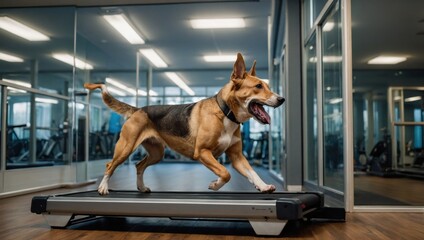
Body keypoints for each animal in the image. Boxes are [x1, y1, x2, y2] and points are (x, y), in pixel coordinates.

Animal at [84, 53, 284, 195]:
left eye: (267, 86)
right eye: (258, 86)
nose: (281, 99)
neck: (225, 113)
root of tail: (138, 109)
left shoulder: (237, 157)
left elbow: (252, 173)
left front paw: (263, 186)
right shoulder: (202, 152)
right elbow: (225, 173)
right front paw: (215, 184)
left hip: (157, 153)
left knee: (139, 166)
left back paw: (141, 188)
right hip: (125, 147)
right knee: (110, 165)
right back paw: (103, 188)